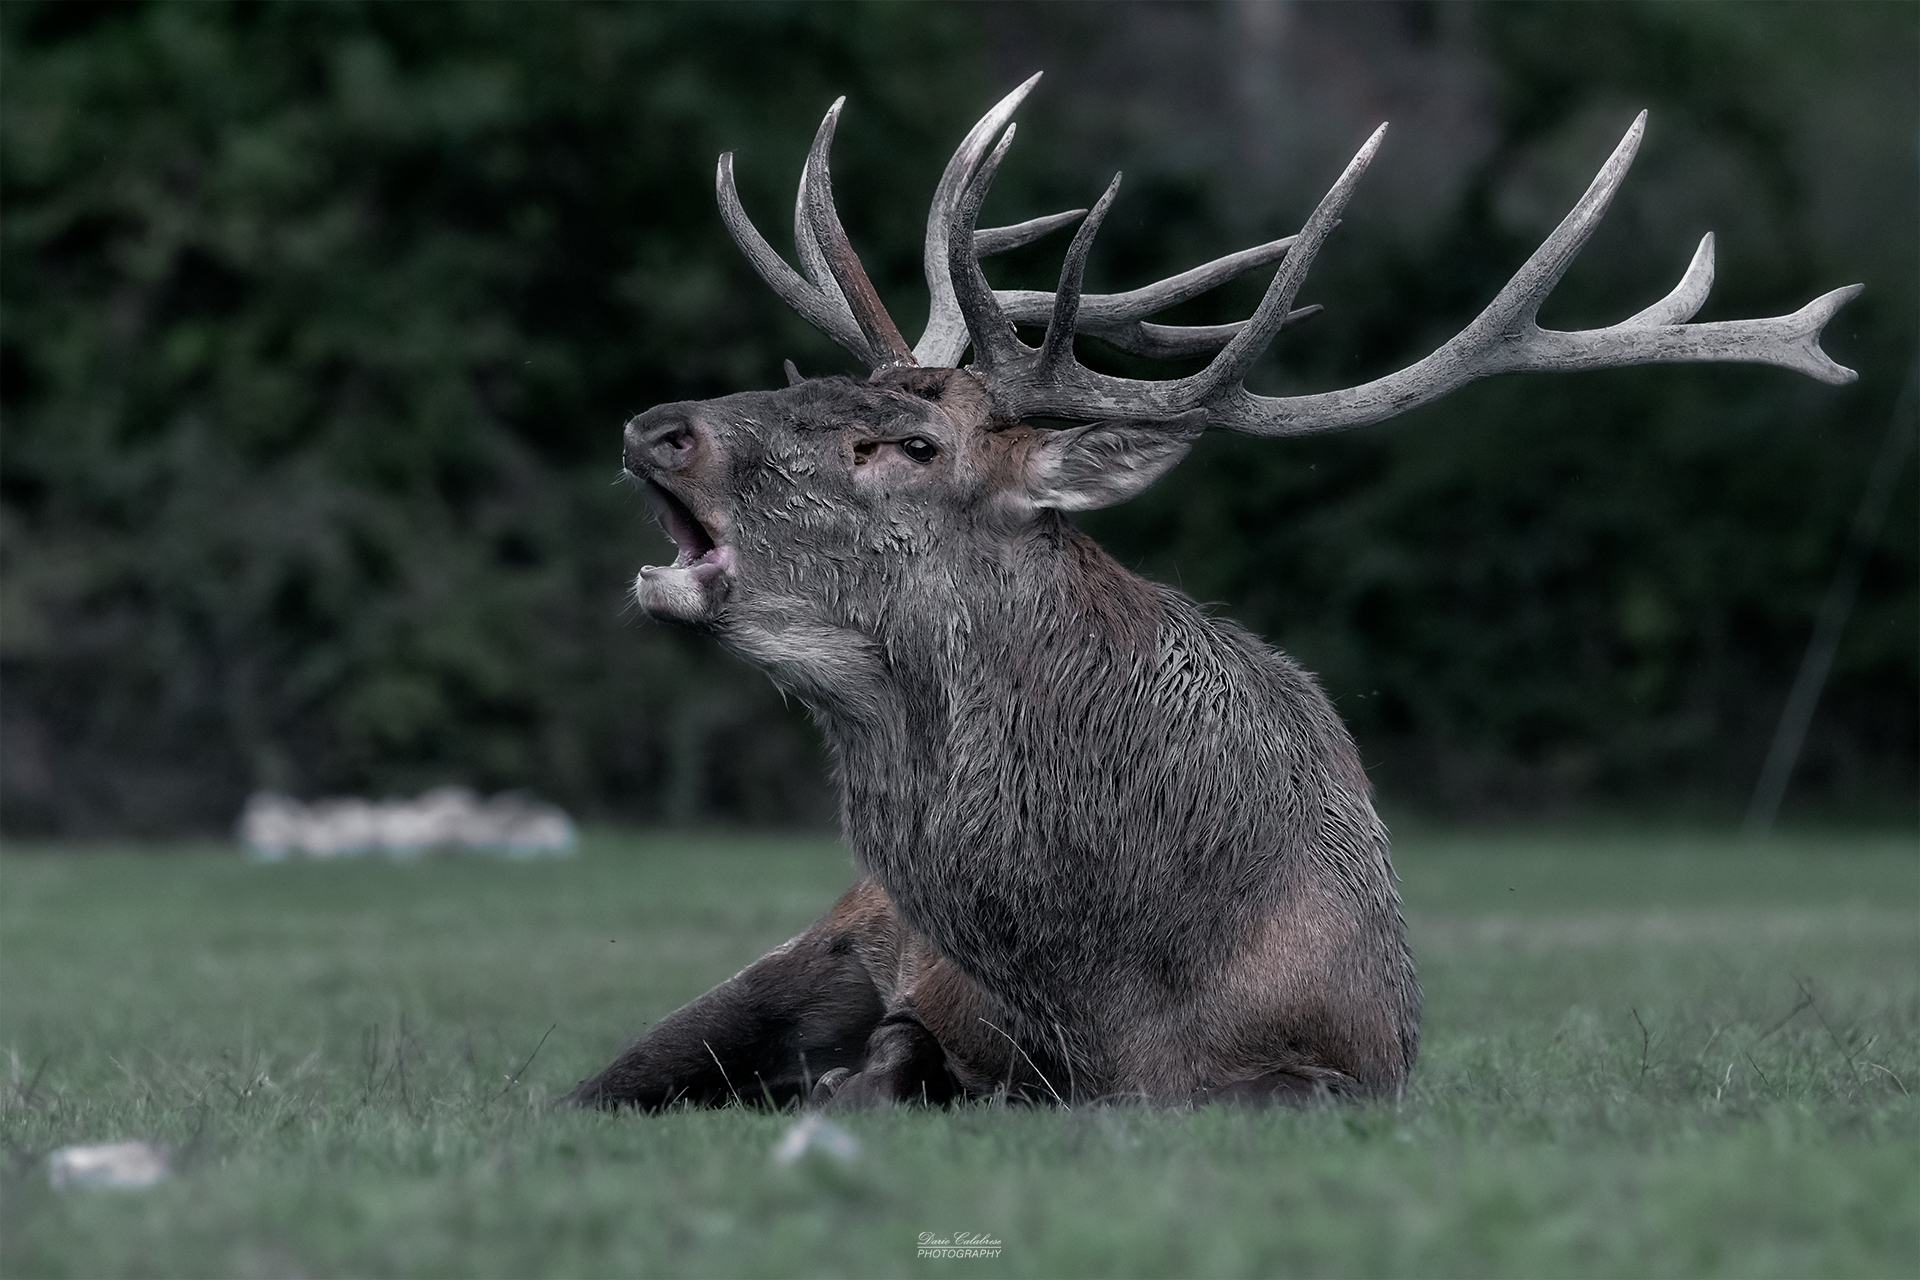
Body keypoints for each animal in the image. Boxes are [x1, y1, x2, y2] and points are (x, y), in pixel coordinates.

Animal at [567, 75, 1859, 1110]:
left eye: (911, 443)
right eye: (815, 386)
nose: (658, 425)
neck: (1110, 992)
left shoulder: (1351, 1060)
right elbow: (909, 1048)